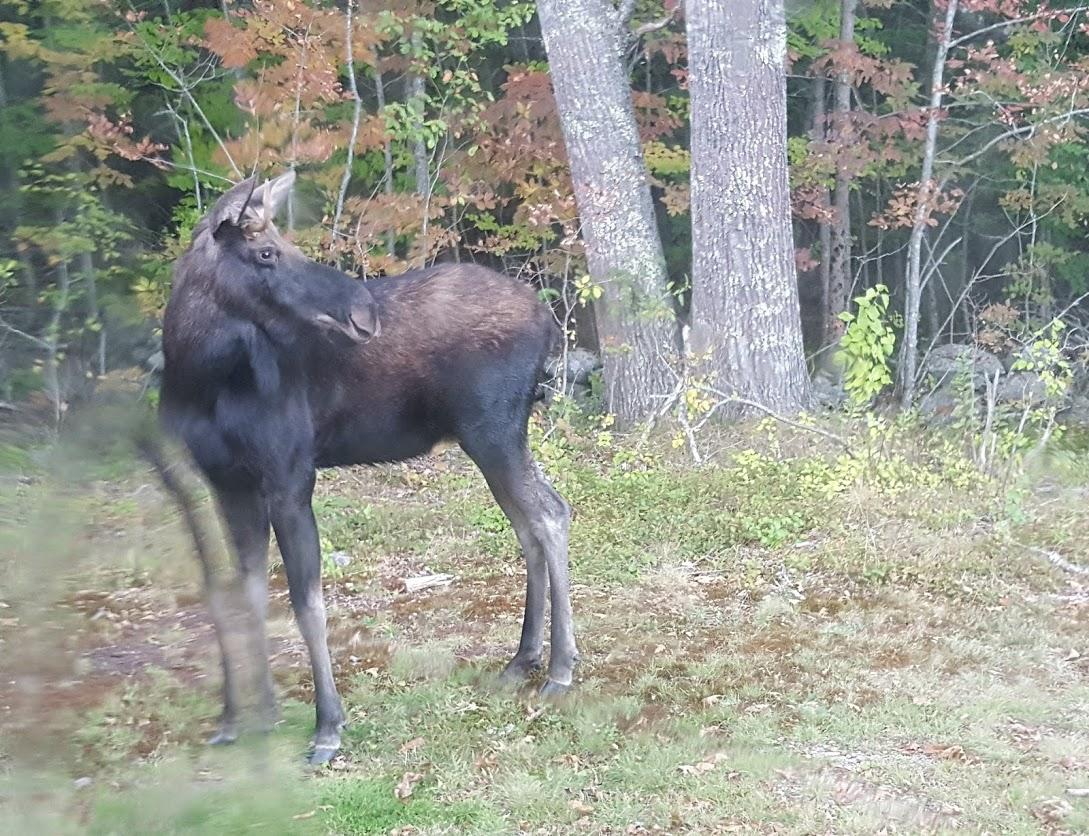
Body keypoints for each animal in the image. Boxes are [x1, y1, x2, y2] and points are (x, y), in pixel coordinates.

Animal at [159, 171, 578, 764]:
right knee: (530, 522)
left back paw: (561, 668)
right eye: (266, 252)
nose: (362, 311)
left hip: (493, 430)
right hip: (493, 436)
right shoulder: (226, 482)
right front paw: (246, 716)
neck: (200, 376)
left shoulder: (290, 474)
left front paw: (327, 727)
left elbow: (307, 604)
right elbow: (246, 594)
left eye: (287, 245)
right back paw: (523, 659)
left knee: (548, 514)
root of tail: (548, 322)